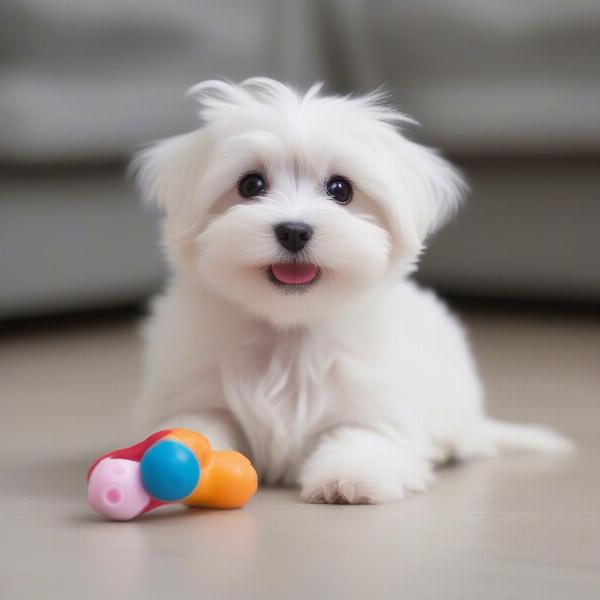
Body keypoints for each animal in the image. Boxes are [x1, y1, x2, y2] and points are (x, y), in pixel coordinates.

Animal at [132, 77, 572, 504]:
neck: (290, 331)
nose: (294, 230)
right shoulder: (193, 388)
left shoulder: (376, 399)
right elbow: (195, 424)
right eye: (251, 184)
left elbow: (365, 434)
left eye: (340, 189)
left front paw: (349, 476)